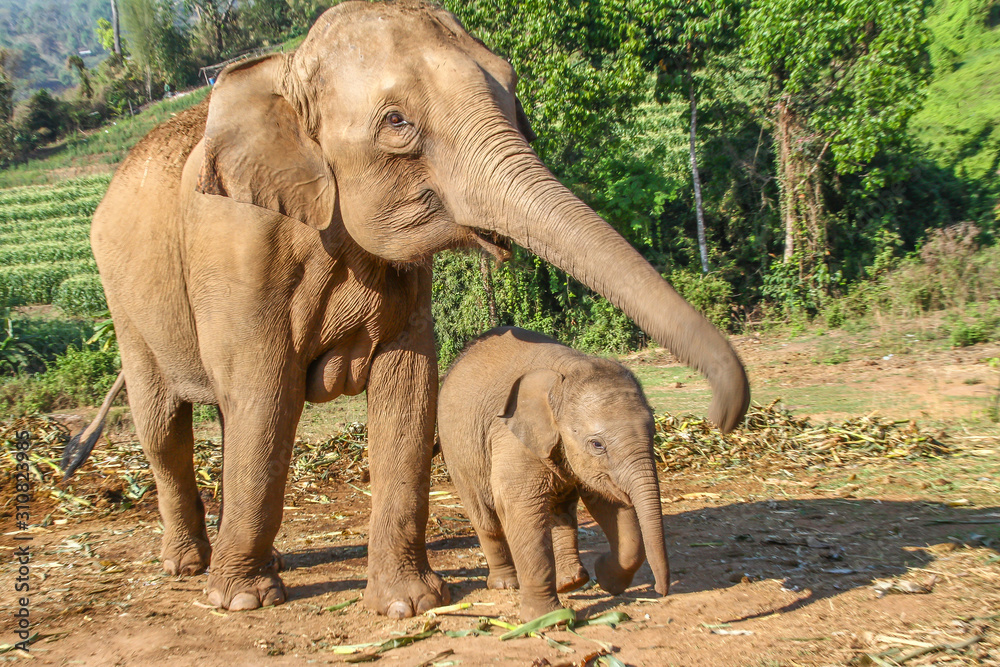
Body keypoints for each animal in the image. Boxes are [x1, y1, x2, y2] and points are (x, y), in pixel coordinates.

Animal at [437, 327, 669, 620]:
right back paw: (507, 584)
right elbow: (519, 506)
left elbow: (607, 502)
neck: (567, 370)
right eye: (597, 444)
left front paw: (606, 578)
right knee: (485, 517)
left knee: (561, 510)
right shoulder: (509, 437)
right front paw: (546, 620)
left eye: (653, 431)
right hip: (458, 454)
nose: (662, 592)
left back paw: (571, 582)